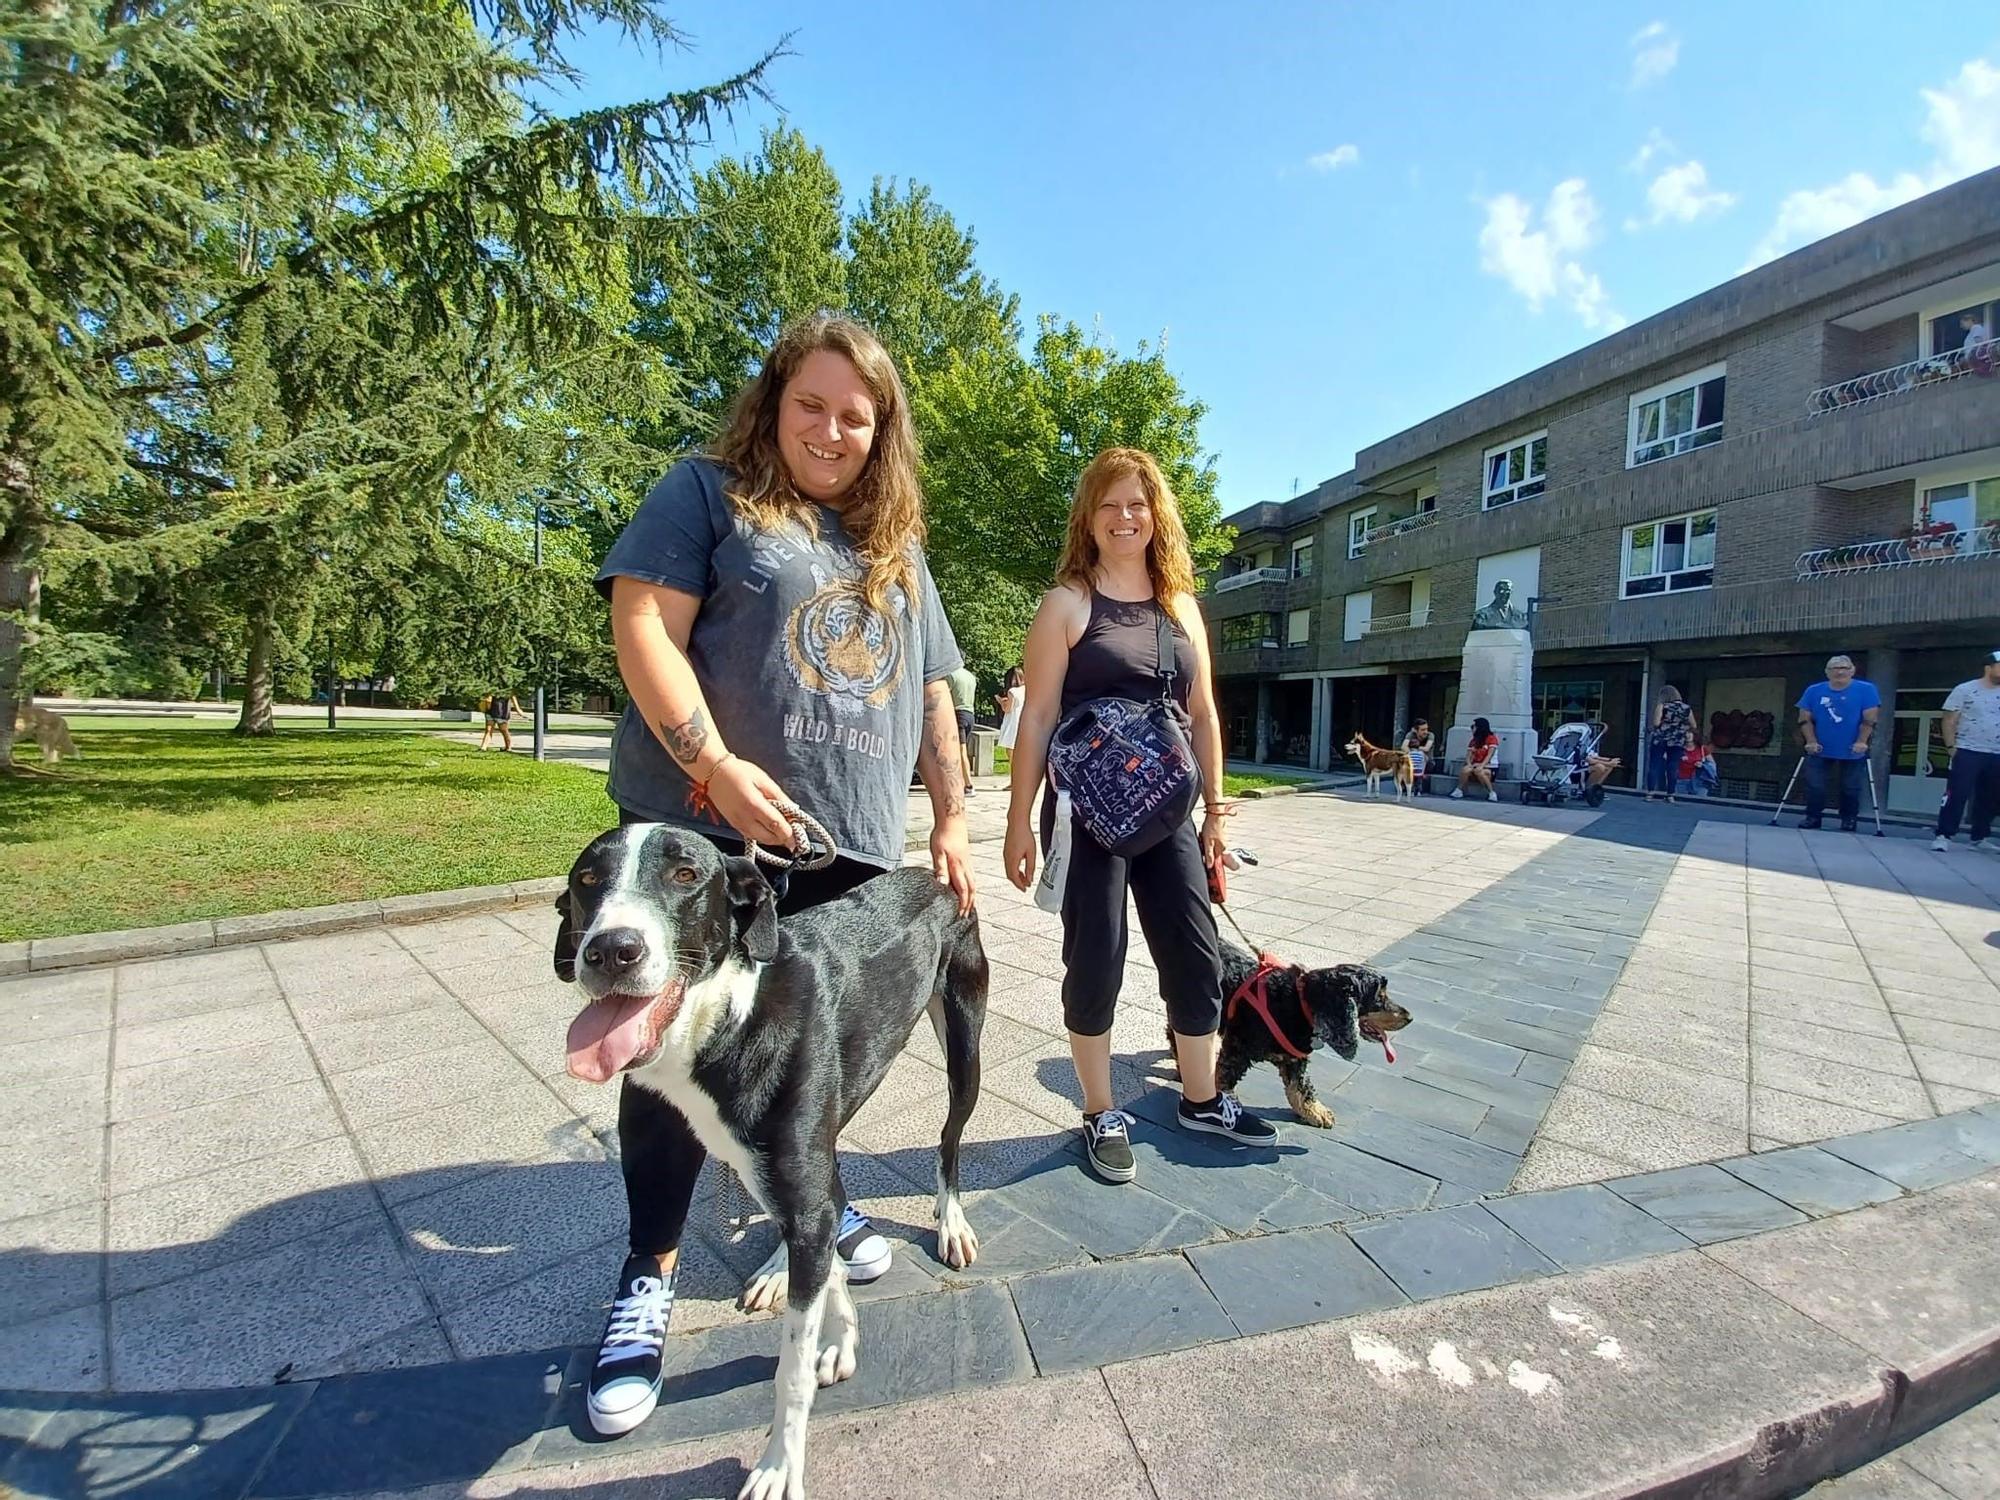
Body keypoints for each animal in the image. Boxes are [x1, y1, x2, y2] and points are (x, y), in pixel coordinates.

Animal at [552, 828, 988, 1500]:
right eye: (587, 881)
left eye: (685, 874)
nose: (610, 951)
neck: (731, 1015)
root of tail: (934, 875)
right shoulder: (786, 1179)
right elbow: (823, 1261)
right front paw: (839, 1337)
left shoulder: (806, 1197)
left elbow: (791, 1371)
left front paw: (779, 1465)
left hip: (964, 1041)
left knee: (949, 1139)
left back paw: (951, 1223)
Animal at [1168, 944, 1416, 1136]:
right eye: (1379, 997)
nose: (1410, 1017)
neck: (1298, 1004)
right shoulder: (1238, 1049)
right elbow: (1223, 1078)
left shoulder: (1295, 1059)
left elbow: (1301, 1088)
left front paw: (1316, 1112)